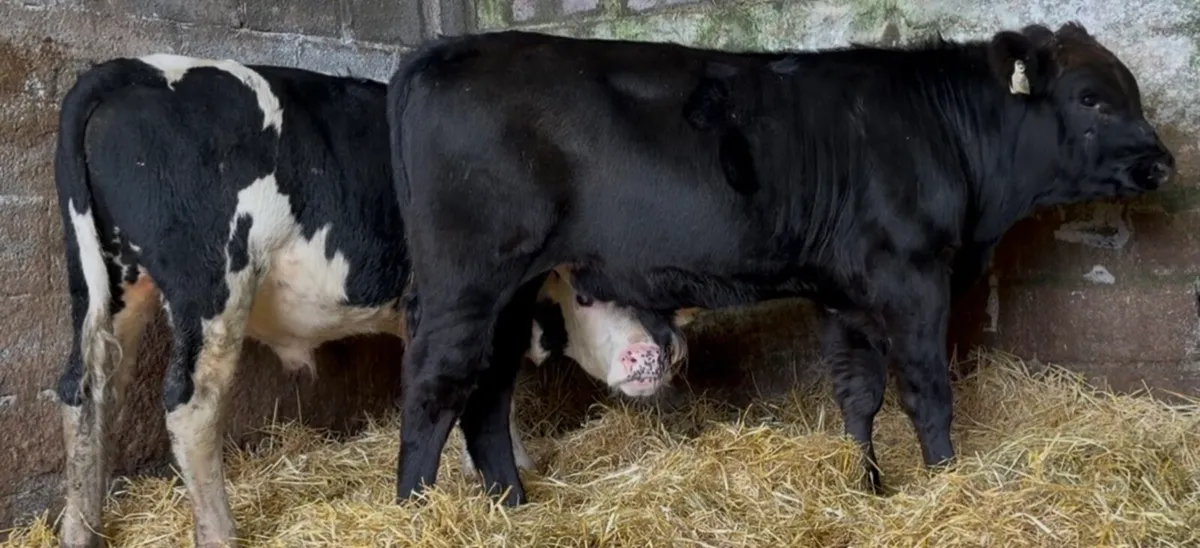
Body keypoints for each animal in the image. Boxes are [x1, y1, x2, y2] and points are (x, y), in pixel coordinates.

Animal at [51, 55, 688, 548]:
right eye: (594, 293)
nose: (661, 357)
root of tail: (136, 68)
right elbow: (480, 388)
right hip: (213, 283)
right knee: (191, 402)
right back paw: (220, 532)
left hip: (108, 286)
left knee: (87, 393)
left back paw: (81, 531)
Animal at [387, 22, 1174, 508]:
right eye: (1090, 98)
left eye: (1130, 91)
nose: (1164, 162)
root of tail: (438, 52)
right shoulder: (913, 275)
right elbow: (926, 391)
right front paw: (946, 480)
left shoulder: (844, 293)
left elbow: (858, 395)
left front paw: (870, 490)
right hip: (467, 280)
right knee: (433, 388)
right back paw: (416, 511)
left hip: (511, 291)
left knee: (486, 396)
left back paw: (511, 509)